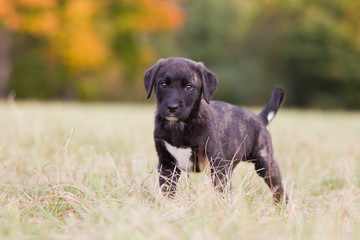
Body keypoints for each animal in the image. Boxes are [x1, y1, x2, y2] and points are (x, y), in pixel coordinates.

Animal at [143, 56, 286, 202]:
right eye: (163, 84)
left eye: (189, 87)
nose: (172, 107)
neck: (179, 127)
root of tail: (258, 118)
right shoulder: (166, 165)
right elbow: (168, 189)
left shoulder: (216, 163)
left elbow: (222, 190)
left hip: (266, 163)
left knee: (279, 190)